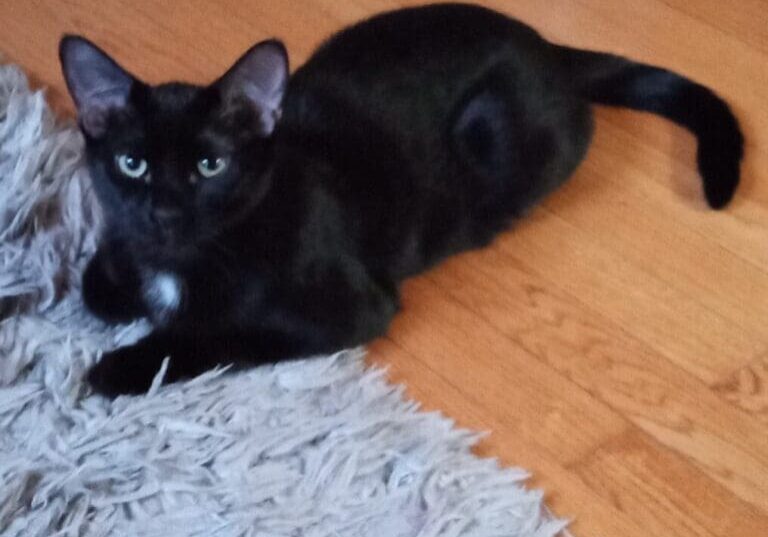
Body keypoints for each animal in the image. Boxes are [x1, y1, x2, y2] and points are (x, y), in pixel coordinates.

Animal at [60, 2, 744, 396]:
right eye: (131, 164)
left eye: (210, 165)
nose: (164, 212)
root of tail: (547, 46)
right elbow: (96, 285)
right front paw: (124, 289)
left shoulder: (349, 310)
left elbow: (220, 334)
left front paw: (123, 367)